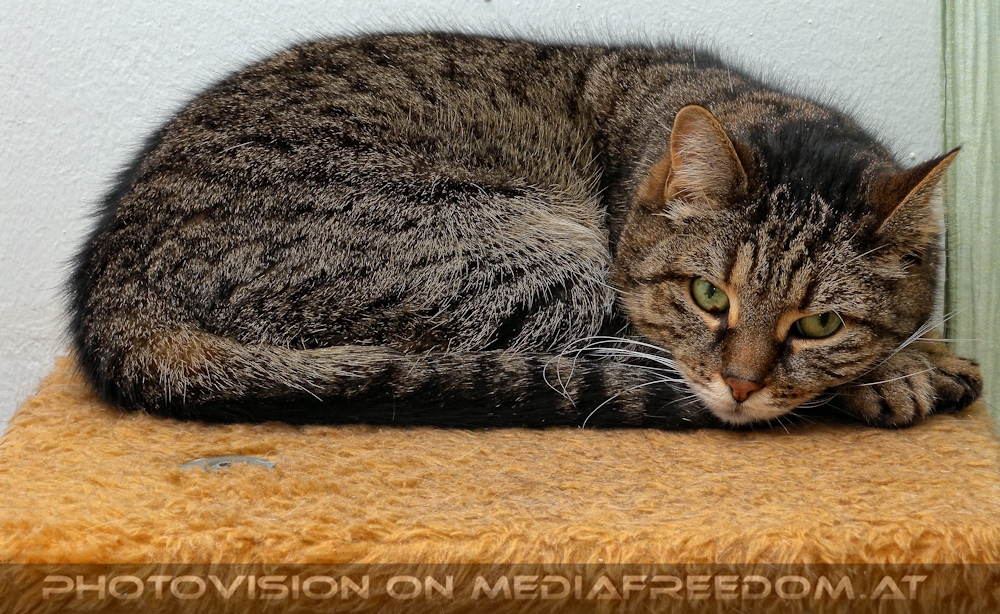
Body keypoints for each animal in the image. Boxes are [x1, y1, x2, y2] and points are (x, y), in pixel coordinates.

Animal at [69, 33, 983, 429]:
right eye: (706, 295)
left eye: (820, 322)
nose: (743, 385)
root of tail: (113, 296)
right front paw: (904, 369)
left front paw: (919, 354)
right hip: (529, 268)